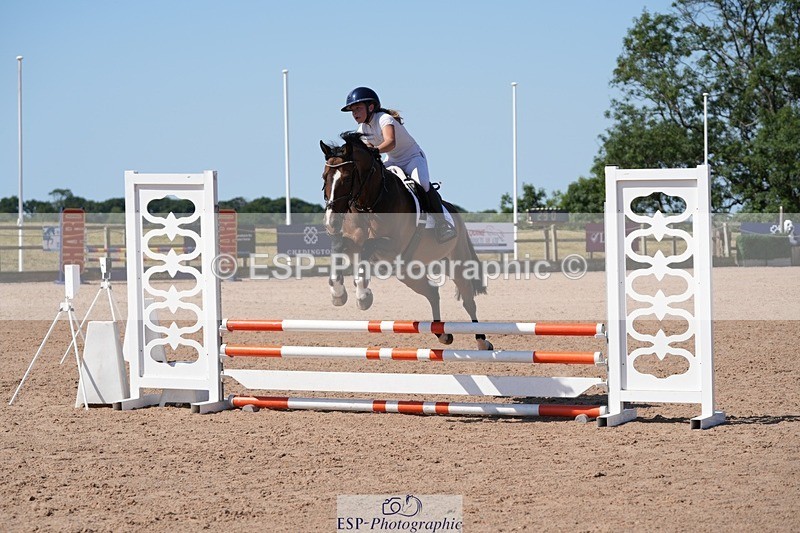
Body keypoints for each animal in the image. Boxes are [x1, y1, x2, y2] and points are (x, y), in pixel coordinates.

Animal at [319, 131, 493, 350]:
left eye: (348, 178)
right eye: (324, 177)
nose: (331, 222)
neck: (370, 202)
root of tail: (454, 212)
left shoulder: (392, 247)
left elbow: (368, 247)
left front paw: (363, 295)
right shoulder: (352, 245)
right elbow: (339, 245)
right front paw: (338, 293)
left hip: (456, 262)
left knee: (468, 300)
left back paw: (482, 341)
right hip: (408, 272)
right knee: (432, 292)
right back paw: (443, 335)